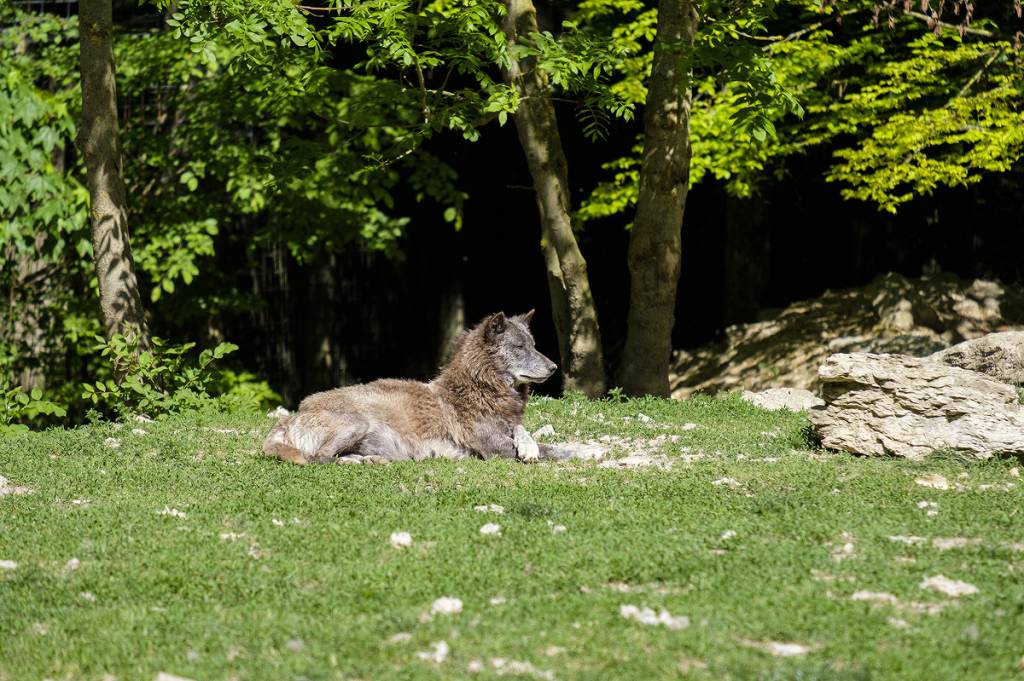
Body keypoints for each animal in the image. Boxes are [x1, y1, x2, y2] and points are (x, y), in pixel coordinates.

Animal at [260, 311, 557, 464]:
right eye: (520, 347)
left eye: (534, 345)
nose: (554, 368)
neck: (481, 387)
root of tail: (289, 419)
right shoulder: (495, 447)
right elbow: (557, 449)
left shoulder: (509, 426)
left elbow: (525, 432)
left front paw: (528, 446)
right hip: (356, 422)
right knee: (319, 457)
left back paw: (371, 460)